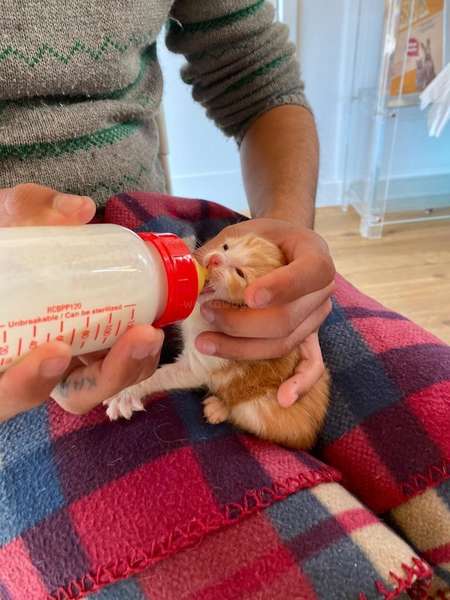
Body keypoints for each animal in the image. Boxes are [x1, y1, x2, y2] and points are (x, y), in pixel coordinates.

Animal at [105, 234, 330, 450]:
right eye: (225, 247)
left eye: (240, 273)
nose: (214, 259)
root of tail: (308, 438)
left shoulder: (206, 360)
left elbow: (168, 375)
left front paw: (126, 392)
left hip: (260, 409)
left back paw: (218, 408)